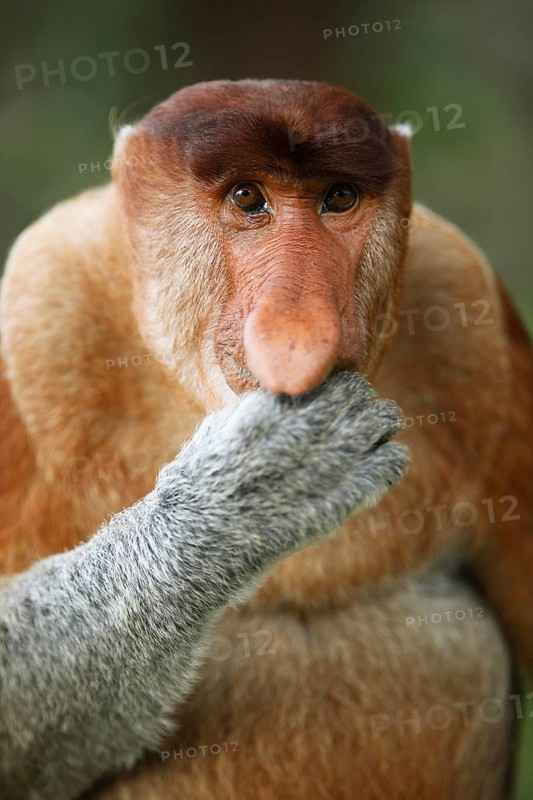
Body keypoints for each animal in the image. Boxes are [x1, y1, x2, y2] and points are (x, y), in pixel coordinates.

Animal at [0, 78, 531, 799]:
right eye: (248, 197)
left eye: (339, 197)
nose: (299, 333)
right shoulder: (39, 311)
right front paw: (253, 492)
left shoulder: (473, 312)